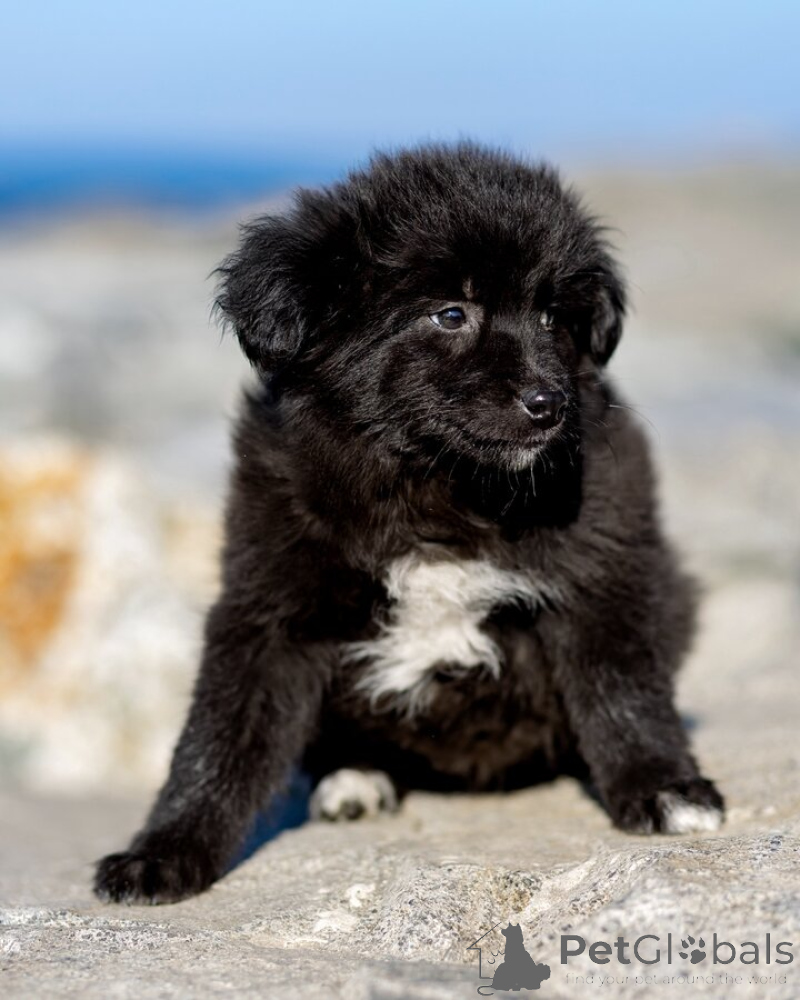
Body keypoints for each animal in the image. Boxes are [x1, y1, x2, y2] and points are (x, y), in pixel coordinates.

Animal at [94, 143, 724, 904]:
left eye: (552, 318)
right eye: (450, 314)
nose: (549, 404)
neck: (438, 486)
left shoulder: (601, 572)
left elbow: (623, 690)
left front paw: (666, 789)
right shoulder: (268, 598)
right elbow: (219, 734)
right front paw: (162, 851)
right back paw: (356, 781)